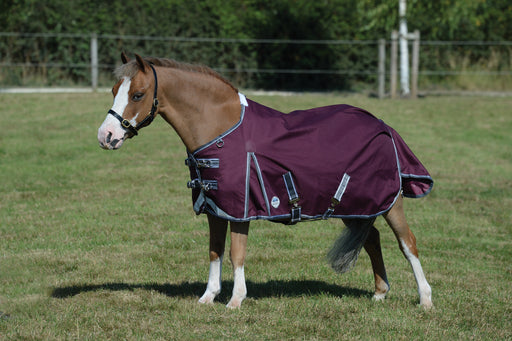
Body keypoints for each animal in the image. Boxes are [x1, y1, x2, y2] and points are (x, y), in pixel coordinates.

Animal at [97, 52, 432, 308]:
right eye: (113, 90)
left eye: (138, 94)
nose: (106, 136)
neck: (221, 130)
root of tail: (383, 125)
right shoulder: (215, 208)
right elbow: (215, 250)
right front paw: (208, 297)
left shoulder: (240, 209)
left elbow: (236, 253)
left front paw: (235, 301)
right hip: (355, 205)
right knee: (372, 239)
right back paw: (379, 294)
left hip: (389, 202)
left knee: (407, 242)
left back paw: (425, 299)